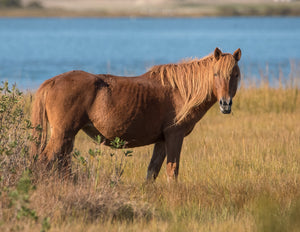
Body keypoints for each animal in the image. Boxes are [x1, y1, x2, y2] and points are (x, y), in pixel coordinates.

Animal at [31, 47, 241, 181]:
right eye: (216, 74)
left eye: (235, 75)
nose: (225, 104)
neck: (180, 91)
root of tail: (52, 82)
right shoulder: (175, 135)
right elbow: (172, 171)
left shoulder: (162, 140)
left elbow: (152, 172)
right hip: (61, 135)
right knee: (44, 161)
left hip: (68, 137)